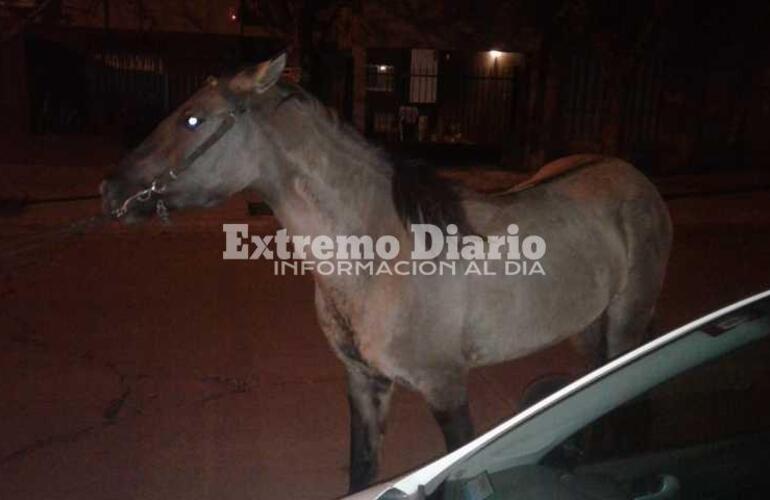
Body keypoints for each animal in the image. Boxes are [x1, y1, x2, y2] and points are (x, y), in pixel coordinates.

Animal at [100, 53, 672, 493]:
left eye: (193, 120)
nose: (111, 190)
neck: (377, 258)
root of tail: (634, 176)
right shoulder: (363, 382)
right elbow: (362, 469)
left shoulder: (447, 390)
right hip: (588, 328)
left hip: (625, 321)